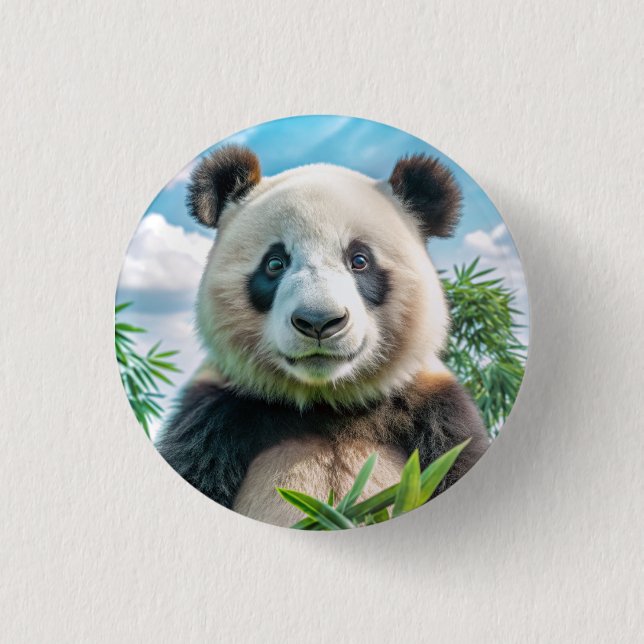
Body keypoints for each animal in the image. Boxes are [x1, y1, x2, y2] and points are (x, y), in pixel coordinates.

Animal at [155, 144, 489, 527]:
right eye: (274, 263)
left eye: (359, 260)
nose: (319, 321)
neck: (327, 401)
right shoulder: (216, 414)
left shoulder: (435, 411)